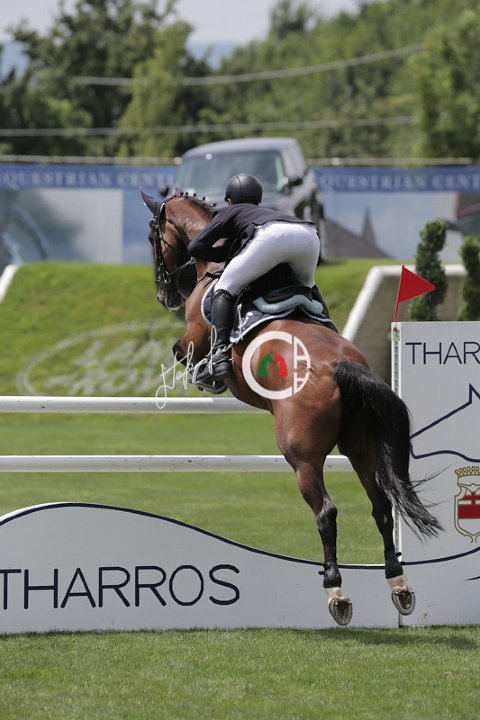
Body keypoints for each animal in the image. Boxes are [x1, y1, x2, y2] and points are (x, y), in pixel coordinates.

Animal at [141, 190, 441, 626]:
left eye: (153, 237)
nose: (164, 296)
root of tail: (343, 366)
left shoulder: (194, 337)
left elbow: (183, 353)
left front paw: (209, 374)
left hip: (301, 455)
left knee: (326, 512)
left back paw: (336, 592)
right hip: (362, 448)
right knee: (382, 506)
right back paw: (398, 584)